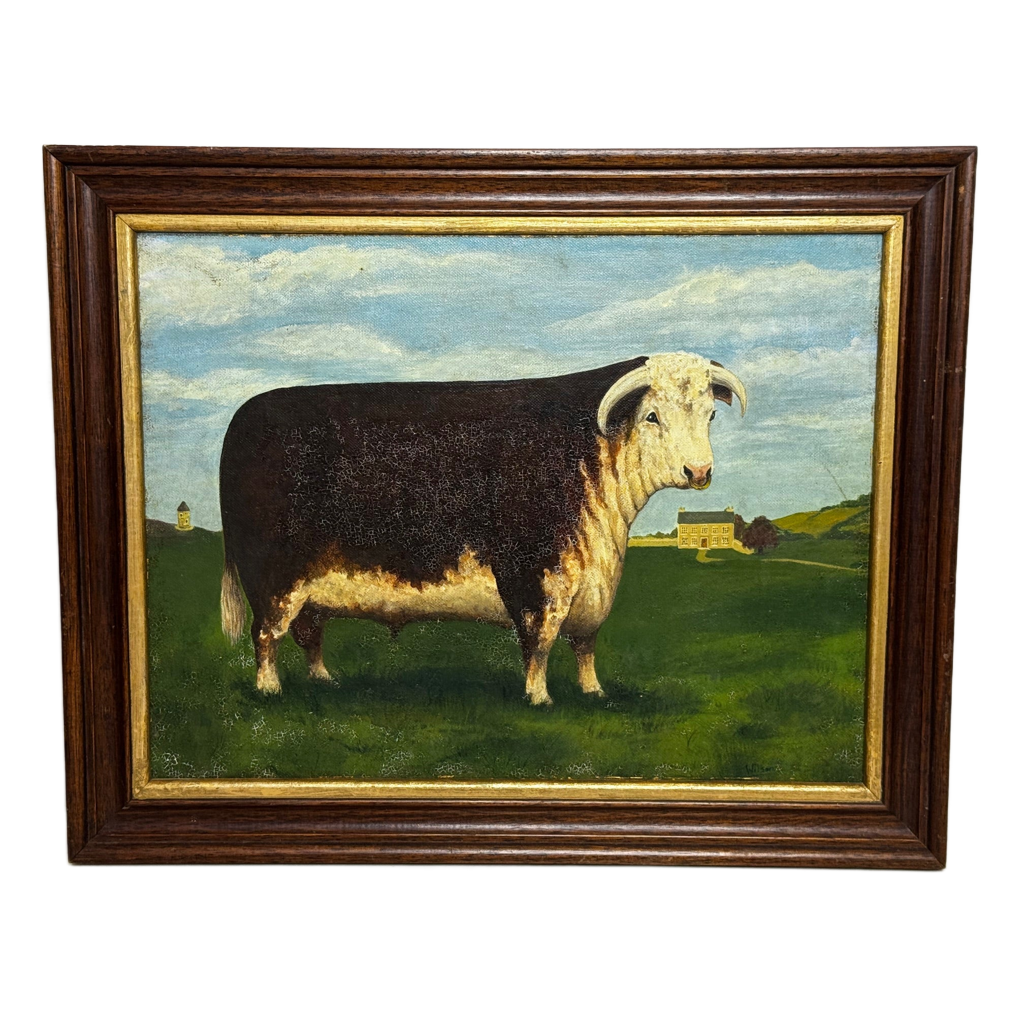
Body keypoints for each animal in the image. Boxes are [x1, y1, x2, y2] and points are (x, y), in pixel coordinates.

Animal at [219, 352, 746, 704]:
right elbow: (539, 643)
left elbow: (585, 645)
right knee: (265, 636)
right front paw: (539, 698)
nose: (699, 471)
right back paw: (269, 690)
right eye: (652, 416)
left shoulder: (591, 589)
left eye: (709, 414)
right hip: (273, 578)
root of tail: (244, 415)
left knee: (309, 634)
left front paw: (593, 692)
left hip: (309, 589)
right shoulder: (535, 579)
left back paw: (324, 680)